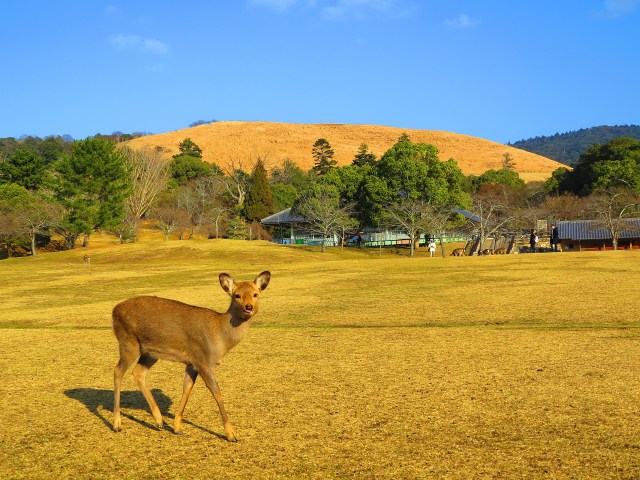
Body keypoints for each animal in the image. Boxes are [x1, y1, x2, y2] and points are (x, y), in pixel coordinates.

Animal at [112, 272, 270, 440]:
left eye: (256, 294)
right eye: (237, 295)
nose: (249, 307)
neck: (220, 339)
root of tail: (114, 310)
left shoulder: (191, 363)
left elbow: (187, 389)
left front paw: (177, 427)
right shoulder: (203, 360)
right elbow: (217, 392)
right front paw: (231, 434)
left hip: (150, 352)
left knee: (138, 372)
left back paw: (159, 420)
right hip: (128, 342)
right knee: (118, 371)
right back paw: (117, 424)